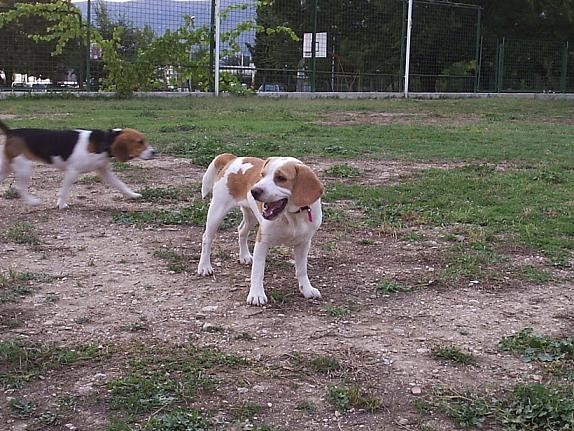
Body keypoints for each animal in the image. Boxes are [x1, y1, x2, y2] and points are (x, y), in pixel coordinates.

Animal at [0, 120, 155, 209]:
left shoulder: (104, 171)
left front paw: (132, 195)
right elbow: (64, 191)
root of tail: (11, 132)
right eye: (140, 142)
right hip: (24, 167)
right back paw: (32, 202)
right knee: (20, 187)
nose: (155, 152)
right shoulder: (72, 171)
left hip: (7, 168)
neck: (104, 141)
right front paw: (61, 205)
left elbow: (121, 185)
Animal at [198, 154, 324, 306]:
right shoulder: (262, 241)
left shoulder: (304, 243)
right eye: (262, 175)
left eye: (281, 178)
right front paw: (256, 295)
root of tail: (233, 158)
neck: (292, 216)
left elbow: (301, 270)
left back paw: (244, 256)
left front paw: (307, 289)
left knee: (241, 230)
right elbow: (258, 271)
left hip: (250, 216)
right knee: (207, 238)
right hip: (216, 212)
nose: (254, 191)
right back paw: (204, 266)